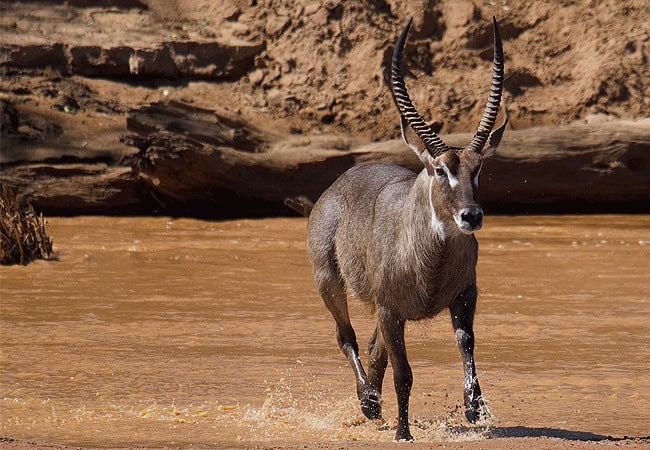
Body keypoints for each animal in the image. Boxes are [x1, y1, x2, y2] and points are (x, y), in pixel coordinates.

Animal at [306, 17, 507, 441]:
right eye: (440, 169)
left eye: (477, 168)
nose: (471, 216)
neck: (432, 259)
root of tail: (341, 182)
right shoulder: (390, 310)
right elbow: (405, 373)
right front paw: (403, 432)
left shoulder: (465, 295)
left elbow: (466, 342)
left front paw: (475, 406)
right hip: (329, 283)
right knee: (347, 337)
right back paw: (368, 402)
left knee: (372, 347)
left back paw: (375, 406)